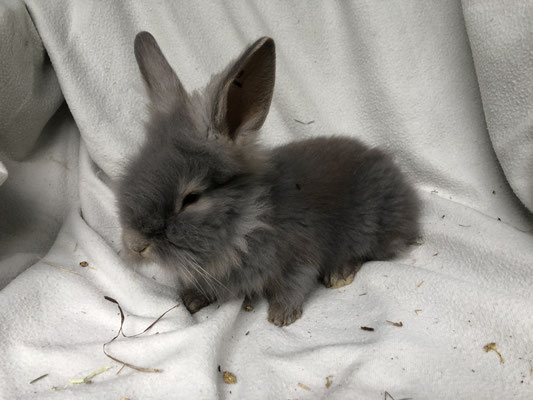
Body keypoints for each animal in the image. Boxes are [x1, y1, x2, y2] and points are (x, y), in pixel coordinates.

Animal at [116, 32, 420, 326]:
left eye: (191, 198)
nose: (136, 245)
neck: (249, 224)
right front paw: (191, 299)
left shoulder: (300, 255)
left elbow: (295, 284)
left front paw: (281, 316)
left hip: (372, 227)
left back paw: (338, 273)